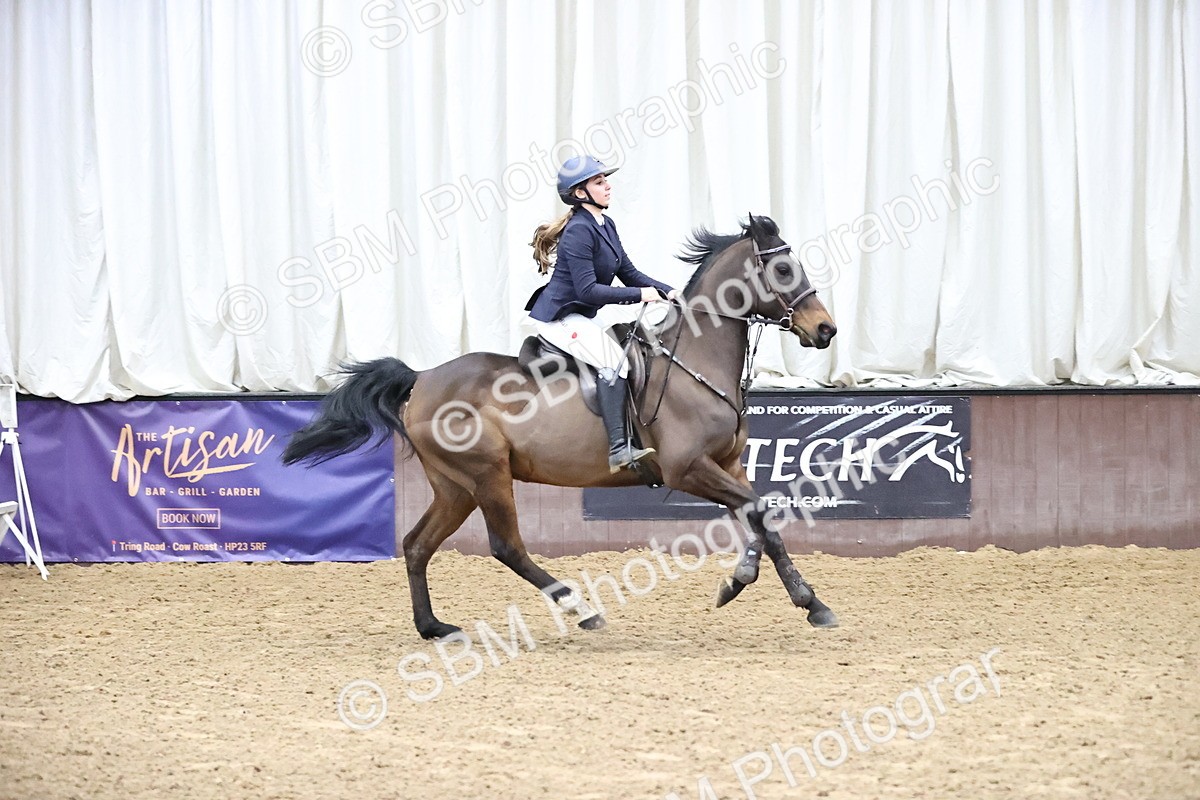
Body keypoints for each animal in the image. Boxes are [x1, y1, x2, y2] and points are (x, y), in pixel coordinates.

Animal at [282, 215, 839, 639]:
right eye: (783, 268)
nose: (826, 330)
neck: (694, 362)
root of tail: (422, 379)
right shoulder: (688, 469)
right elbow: (759, 512)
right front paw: (785, 594)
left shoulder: (727, 464)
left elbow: (760, 519)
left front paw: (771, 589)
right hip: (487, 475)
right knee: (506, 547)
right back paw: (582, 609)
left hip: (454, 485)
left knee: (418, 544)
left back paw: (433, 627)